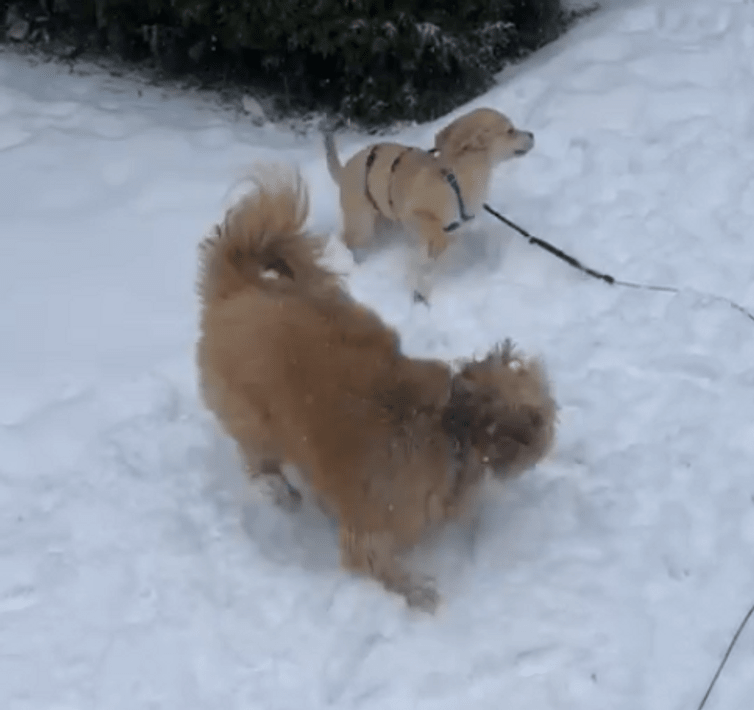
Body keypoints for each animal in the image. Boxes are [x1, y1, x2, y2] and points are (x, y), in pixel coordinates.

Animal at [197, 166, 556, 611]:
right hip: (253, 418)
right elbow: (377, 563)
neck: (452, 428)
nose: (551, 431)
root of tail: (240, 286)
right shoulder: (373, 527)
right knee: (258, 461)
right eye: (542, 413)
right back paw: (281, 491)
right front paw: (420, 594)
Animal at [323, 107, 535, 301]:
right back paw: (341, 260)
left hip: (384, 219)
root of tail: (345, 169)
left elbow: (432, 258)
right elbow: (435, 233)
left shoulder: (453, 228)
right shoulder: (412, 214)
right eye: (510, 131)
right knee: (348, 239)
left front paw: (422, 286)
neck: (454, 180)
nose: (532, 134)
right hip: (362, 225)